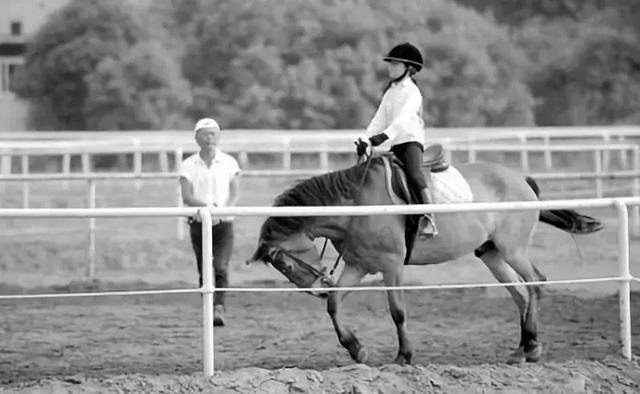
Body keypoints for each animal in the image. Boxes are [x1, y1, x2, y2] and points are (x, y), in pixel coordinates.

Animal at [245, 152, 600, 364]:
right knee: (520, 294)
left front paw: (404, 356)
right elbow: (335, 304)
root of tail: (521, 179)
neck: (356, 205)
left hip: (513, 250)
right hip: (493, 255)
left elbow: (397, 311)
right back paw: (521, 348)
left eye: (286, 263)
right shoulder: (359, 265)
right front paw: (356, 349)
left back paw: (534, 348)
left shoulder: (390, 266)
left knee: (536, 283)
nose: (317, 289)